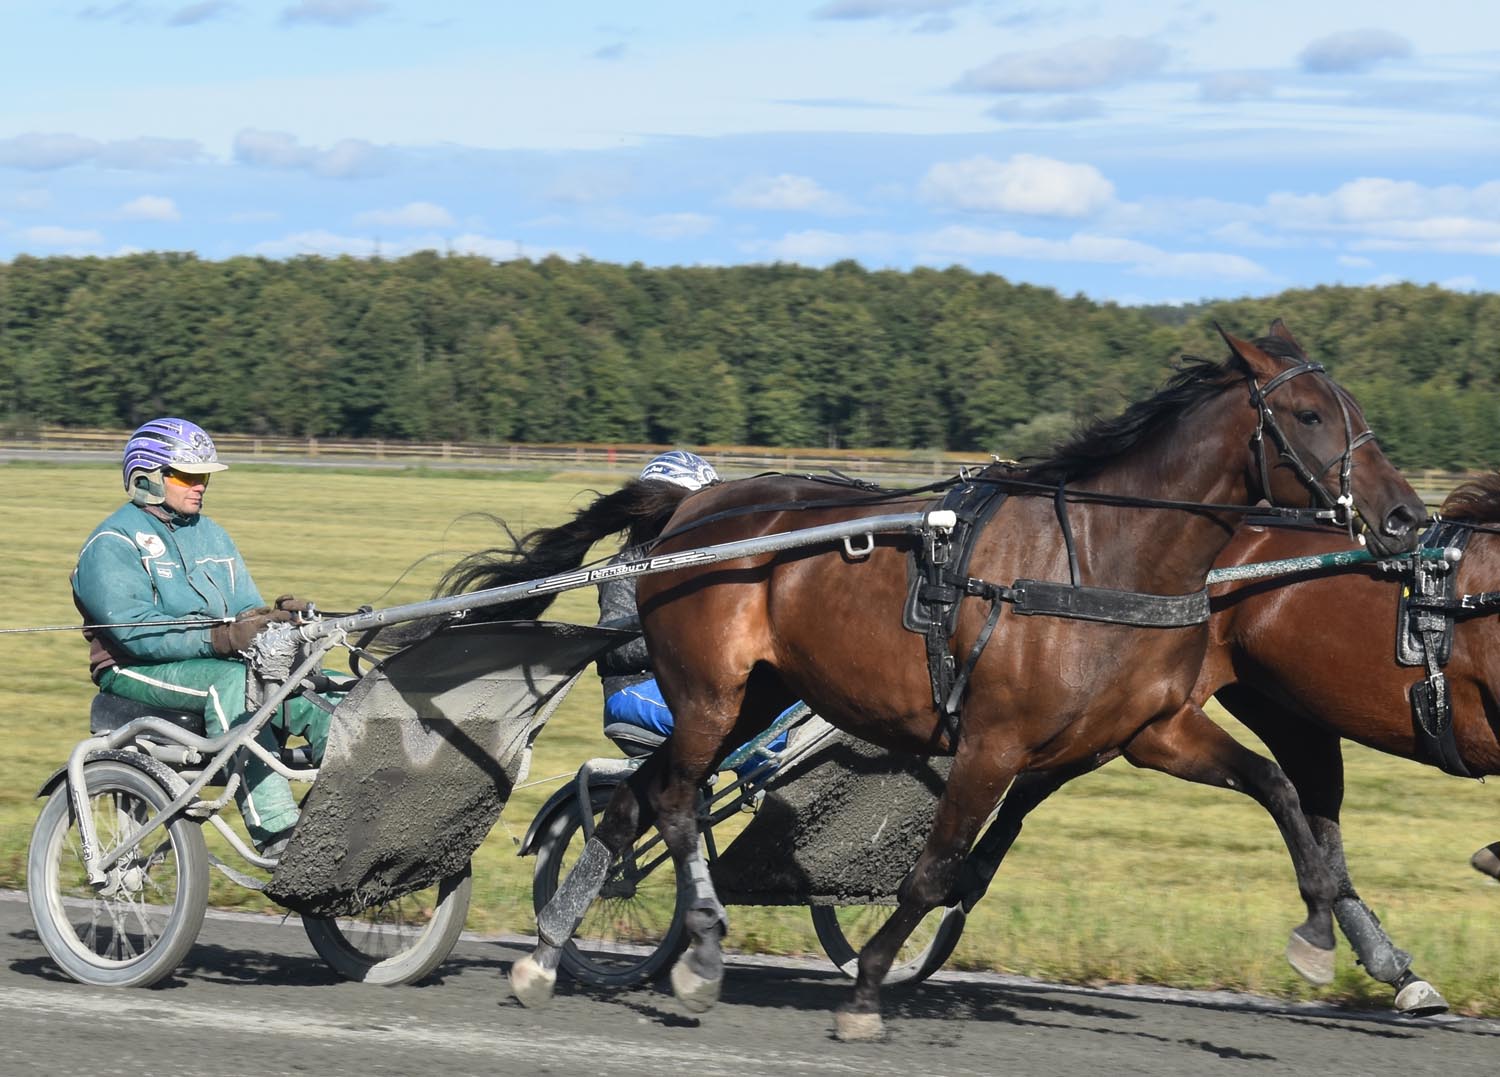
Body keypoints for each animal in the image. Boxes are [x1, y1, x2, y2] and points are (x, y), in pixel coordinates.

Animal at [471, 322, 1428, 1044]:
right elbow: (933, 871)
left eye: (1354, 409)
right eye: (1308, 413)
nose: (1406, 517)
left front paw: (1320, 929)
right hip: (707, 691)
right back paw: (698, 948)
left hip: (754, 694)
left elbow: (1277, 786)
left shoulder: (1151, 732)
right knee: (670, 799)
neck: (1097, 560)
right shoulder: (992, 741)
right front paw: (866, 987)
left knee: (633, 799)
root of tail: (688, 513)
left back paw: (546, 953)